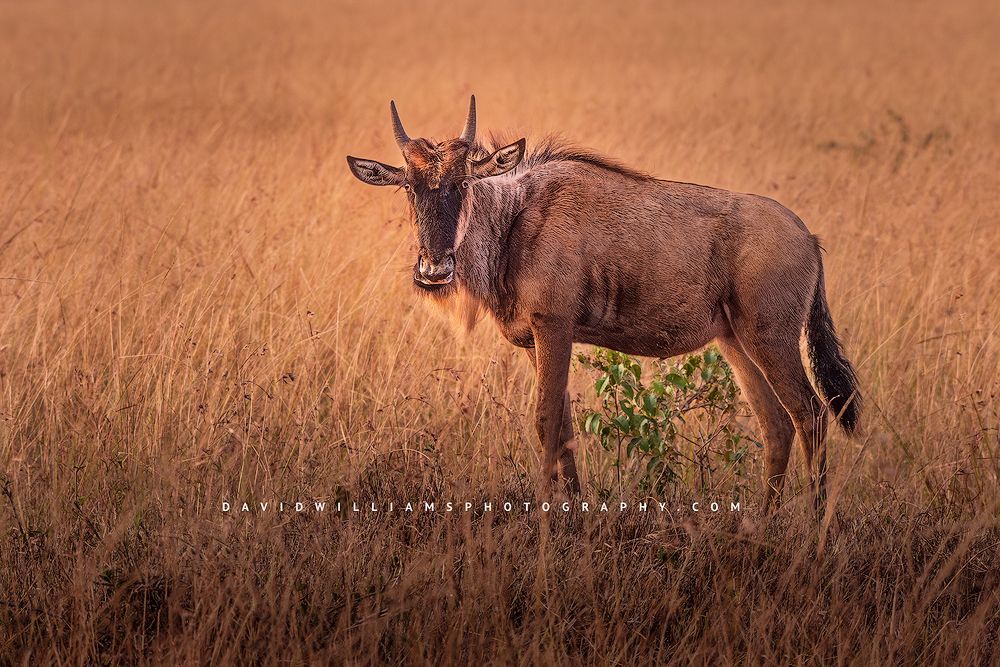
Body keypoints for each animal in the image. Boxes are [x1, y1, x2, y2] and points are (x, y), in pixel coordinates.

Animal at [346, 96, 861, 511]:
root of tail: (808, 237)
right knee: (777, 425)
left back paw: (813, 532)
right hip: (737, 344)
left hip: (772, 341)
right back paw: (761, 524)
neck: (513, 222)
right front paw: (575, 517)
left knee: (811, 415)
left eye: (464, 182)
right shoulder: (537, 341)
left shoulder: (554, 327)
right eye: (409, 186)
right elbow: (566, 430)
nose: (434, 269)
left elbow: (545, 422)